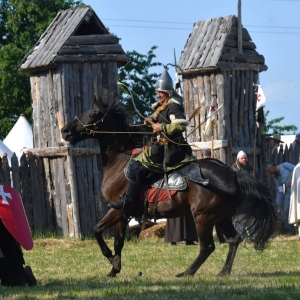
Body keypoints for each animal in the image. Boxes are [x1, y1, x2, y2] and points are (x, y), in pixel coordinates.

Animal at [61, 97, 278, 278]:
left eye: (93, 114)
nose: (65, 131)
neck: (119, 160)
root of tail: (234, 175)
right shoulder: (122, 214)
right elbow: (118, 241)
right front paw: (114, 269)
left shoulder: (118, 209)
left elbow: (97, 230)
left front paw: (111, 259)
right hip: (221, 217)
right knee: (233, 240)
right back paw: (223, 272)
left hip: (203, 217)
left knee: (207, 246)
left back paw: (187, 273)